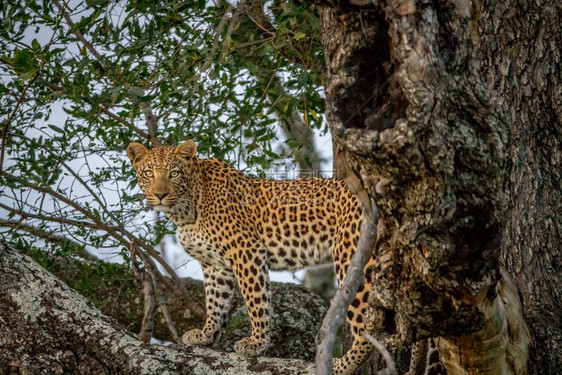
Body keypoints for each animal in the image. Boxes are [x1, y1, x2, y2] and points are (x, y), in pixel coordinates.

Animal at [127, 142, 378, 375]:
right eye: (149, 173)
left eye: (174, 173)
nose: (160, 195)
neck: (186, 210)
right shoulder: (215, 266)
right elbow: (215, 302)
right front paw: (207, 335)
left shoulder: (246, 252)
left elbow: (257, 302)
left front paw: (257, 344)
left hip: (350, 254)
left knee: (367, 327)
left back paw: (342, 364)